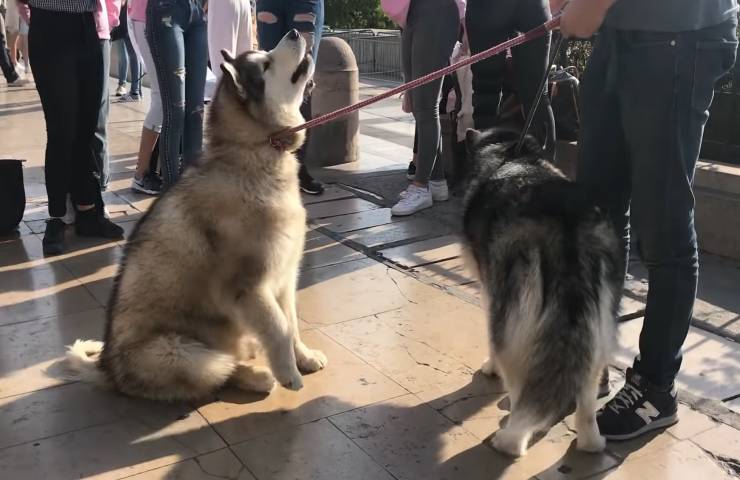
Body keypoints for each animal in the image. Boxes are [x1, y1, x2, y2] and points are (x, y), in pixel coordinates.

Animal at [57, 31, 324, 402]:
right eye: (267, 64)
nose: (296, 32)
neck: (253, 152)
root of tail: (108, 370)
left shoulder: (284, 277)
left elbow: (292, 323)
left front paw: (304, 357)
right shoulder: (247, 286)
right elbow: (279, 327)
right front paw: (289, 374)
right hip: (183, 353)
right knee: (219, 370)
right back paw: (256, 376)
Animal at [462, 128, 624, 458]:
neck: (513, 155)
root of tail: (566, 224)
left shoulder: (490, 291)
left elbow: (490, 340)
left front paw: (489, 368)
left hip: (513, 320)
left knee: (520, 386)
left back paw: (511, 439)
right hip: (597, 327)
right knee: (586, 398)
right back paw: (591, 442)